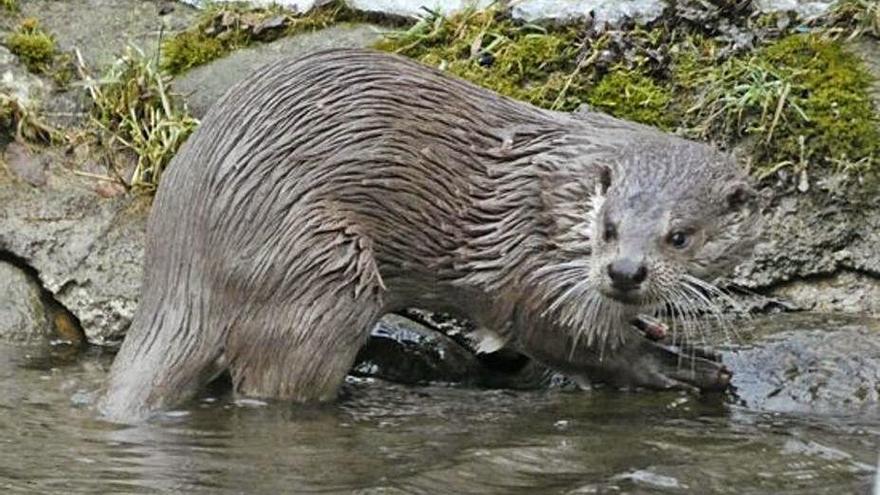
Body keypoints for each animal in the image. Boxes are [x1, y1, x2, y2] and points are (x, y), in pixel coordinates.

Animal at [99, 47, 764, 422]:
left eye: (681, 237)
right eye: (609, 227)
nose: (624, 273)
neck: (560, 195)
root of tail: (180, 263)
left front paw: (657, 328)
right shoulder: (536, 265)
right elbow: (565, 336)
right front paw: (681, 366)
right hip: (320, 266)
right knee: (273, 382)